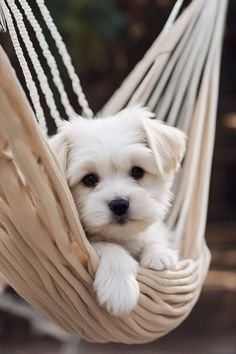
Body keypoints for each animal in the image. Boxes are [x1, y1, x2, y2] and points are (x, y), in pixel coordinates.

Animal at [50, 106, 186, 316]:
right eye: (89, 179)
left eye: (137, 171)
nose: (119, 204)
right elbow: (107, 246)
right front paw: (120, 287)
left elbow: (154, 235)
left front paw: (159, 254)